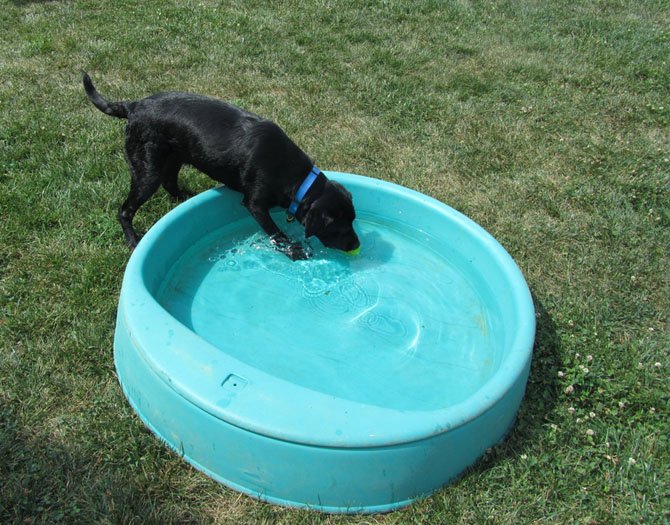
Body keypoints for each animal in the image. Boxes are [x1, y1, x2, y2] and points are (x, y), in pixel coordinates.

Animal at [83, 71, 360, 260]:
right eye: (338, 225)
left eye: (353, 220)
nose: (357, 246)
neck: (298, 180)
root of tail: (134, 105)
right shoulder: (255, 204)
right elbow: (276, 233)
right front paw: (294, 250)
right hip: (147, 170)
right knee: (125, 210)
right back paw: (133, 241)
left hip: (175, 158)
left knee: (170, 183)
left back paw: (187, 198)